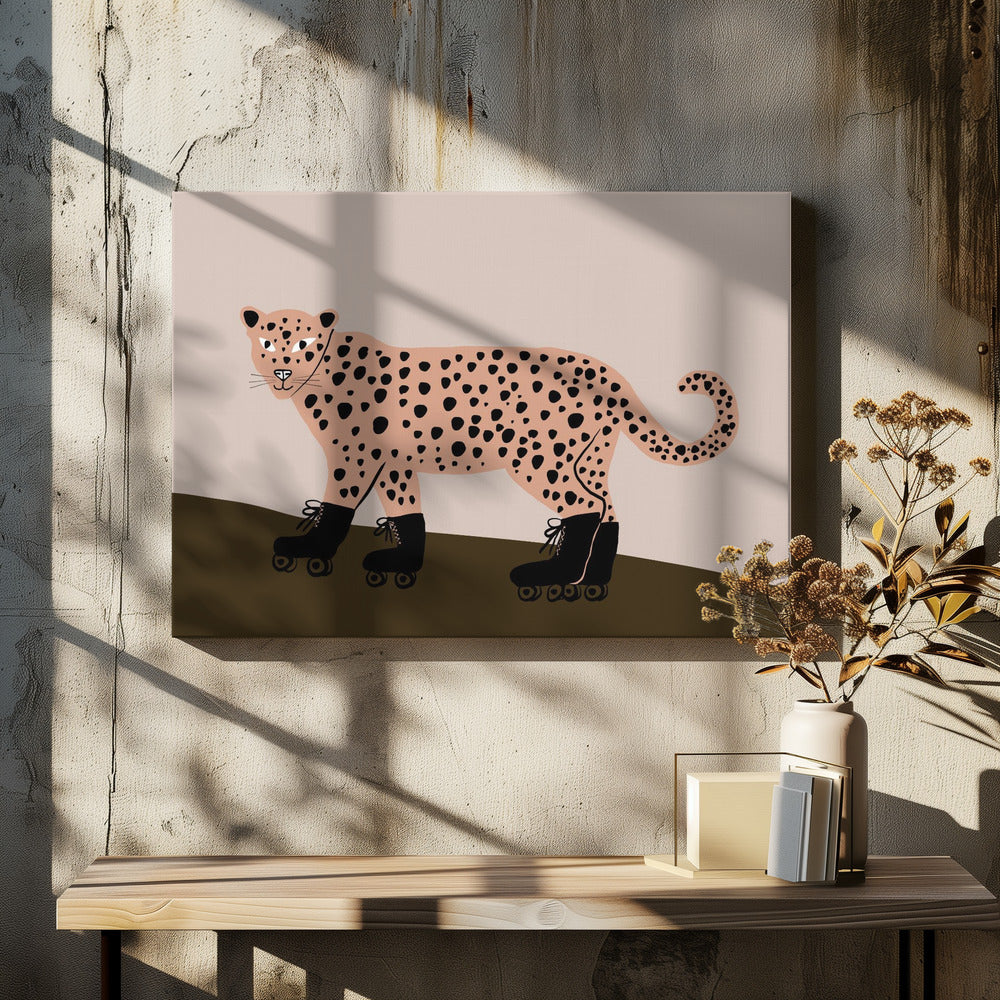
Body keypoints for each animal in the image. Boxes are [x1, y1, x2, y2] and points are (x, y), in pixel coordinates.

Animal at [240, 306, 738, 601]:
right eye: (267, 342)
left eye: (302, 343)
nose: (282, 369)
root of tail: (606, 371)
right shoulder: (393, 463)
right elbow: (407, 512)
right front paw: (402, 565)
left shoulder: (356, 456)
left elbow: (337, 507)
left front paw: (308, 550)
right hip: (590, 458)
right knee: (608, 510)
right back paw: (591, 582)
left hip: (537, 457)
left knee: (585, 507)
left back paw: (550, 577)